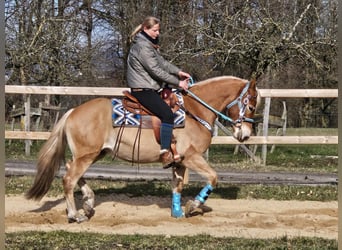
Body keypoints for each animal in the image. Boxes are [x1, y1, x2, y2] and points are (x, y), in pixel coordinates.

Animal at [25, 75, 258, 223]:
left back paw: (89, 202)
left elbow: (177, 187)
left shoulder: (179, 161)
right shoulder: (191, 156)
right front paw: (193, 206)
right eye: (251, 105)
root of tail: (73, 111)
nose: (245, 134)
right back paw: (75, 215)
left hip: (93, 154)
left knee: (70, 170)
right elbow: (213, 178)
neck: (195, 111)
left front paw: (177, 212)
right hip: (87, 155)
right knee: (69, 179)